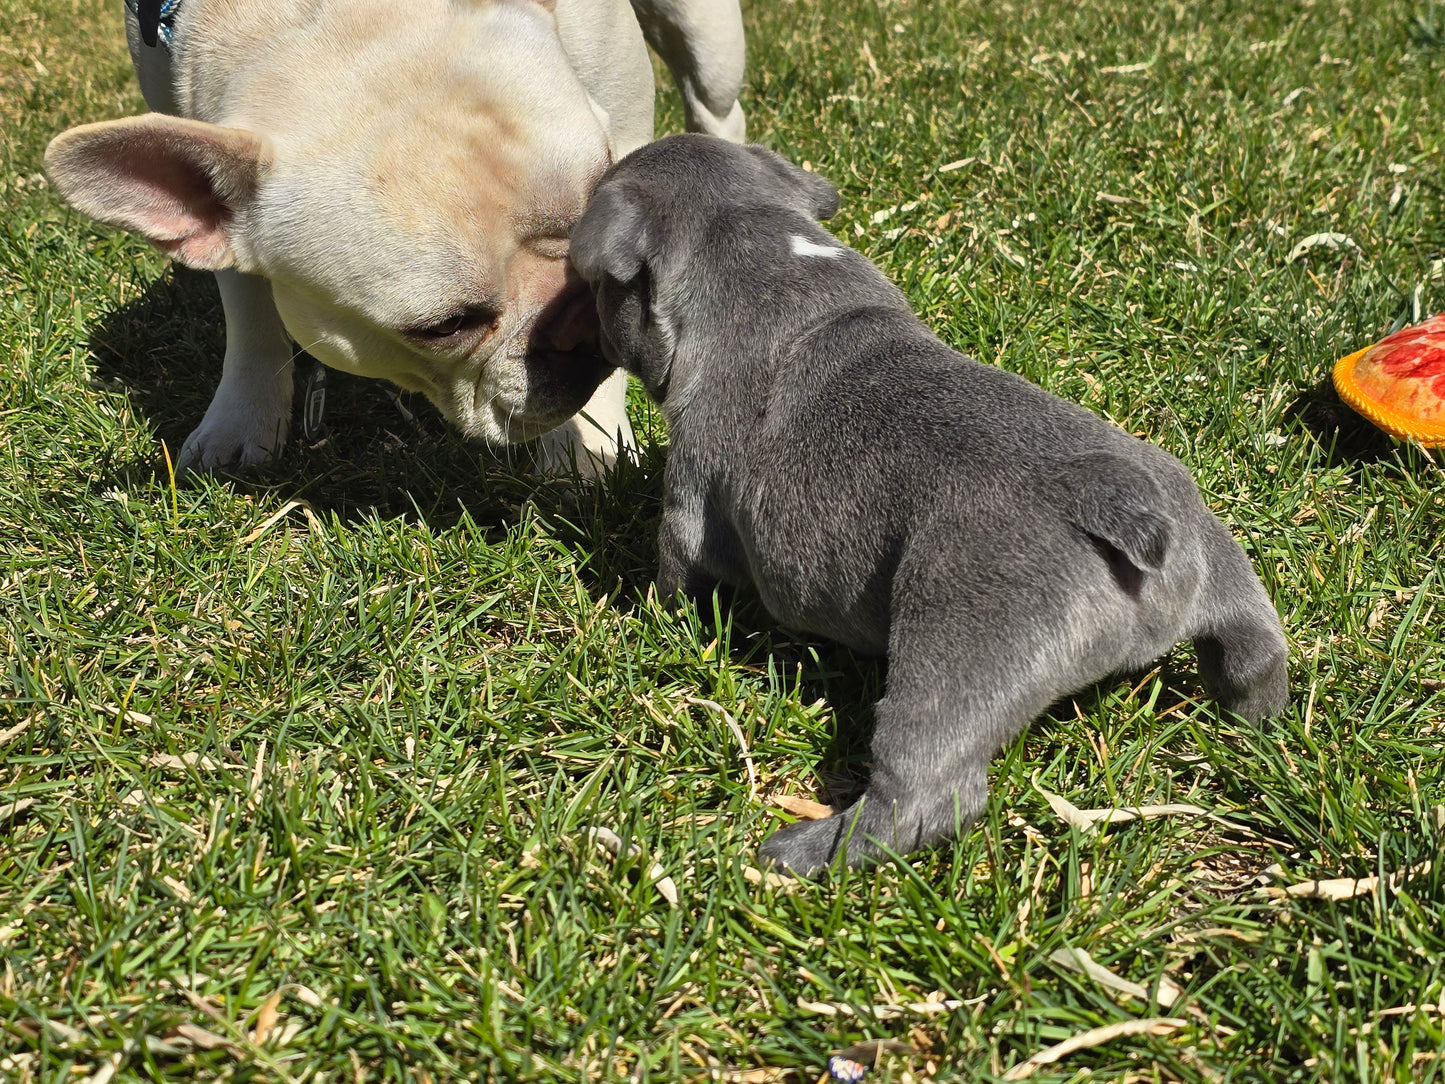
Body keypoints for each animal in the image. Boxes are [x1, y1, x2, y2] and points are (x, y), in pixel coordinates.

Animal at [566, 133, 1288, 884]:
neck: (760, 247)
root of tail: (1117, 500)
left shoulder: (689, 504)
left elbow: (678, 575)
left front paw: (652, 623)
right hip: (1221, 565)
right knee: (1255, 658)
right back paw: (1258, 730)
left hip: (958, 647)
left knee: (924, 796)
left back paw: (801, 852)